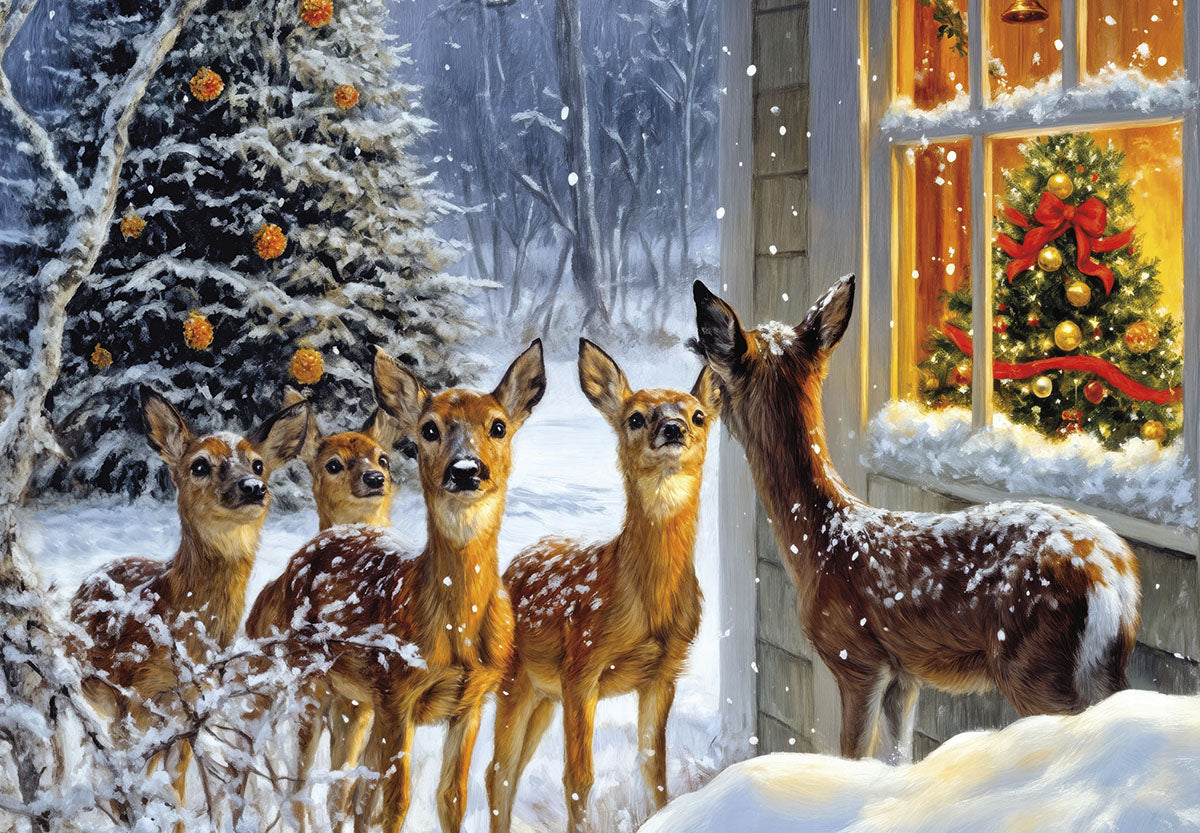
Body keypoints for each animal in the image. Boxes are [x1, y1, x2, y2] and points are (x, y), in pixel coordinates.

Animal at [69, 388, 310, 829]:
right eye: (199, 465)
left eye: (258, 464)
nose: (253, 487)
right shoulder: (136, 705)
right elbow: (139, 781)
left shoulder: (189, 714)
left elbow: (175, 788)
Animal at [244, 340, 546, 833]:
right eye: (429, 429)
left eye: (498, 426)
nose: (466, 470)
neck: (456, 633)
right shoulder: (395, 696)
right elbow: (394, 802)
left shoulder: (471, 702)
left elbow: (450, 798)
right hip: (310, 680)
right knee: (301, 780)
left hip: (352, 701)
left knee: (340, 787)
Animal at [487, 339, 720, 833]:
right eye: (635, 417)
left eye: (698, 415)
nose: (672, 428)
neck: (647, 605)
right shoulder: (582, 666)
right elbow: (578, 778)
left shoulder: (664, 673)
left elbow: (654, 767)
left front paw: (662, 817)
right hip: (515, 678)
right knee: (498, 770)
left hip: (544, 693)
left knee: (510, 770)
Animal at [690, 274, 1141, 763]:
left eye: (710, 364)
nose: (694, 398)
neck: (821, 543)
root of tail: (1112, 573)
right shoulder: (904, 675)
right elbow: (896, 757)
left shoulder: (858, 659)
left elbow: (853, 754)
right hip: (1100, 667)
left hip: (1035, 663)